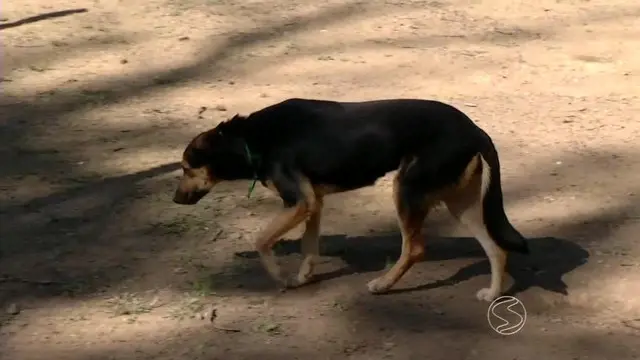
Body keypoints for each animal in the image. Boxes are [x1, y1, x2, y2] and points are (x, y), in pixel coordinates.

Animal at [172, 97, 528, 300]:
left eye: (186, 167)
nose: (175, 199)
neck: (249, 139)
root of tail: (475, 130)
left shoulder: (299, 201)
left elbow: (261, 240)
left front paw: (279, 277)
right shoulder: (312, 202)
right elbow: (309, 246)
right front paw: (303, 276)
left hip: (407, 189)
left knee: (414, 248)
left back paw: (383, 285)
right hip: (460, 203)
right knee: (496, 250)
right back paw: (493, 294)